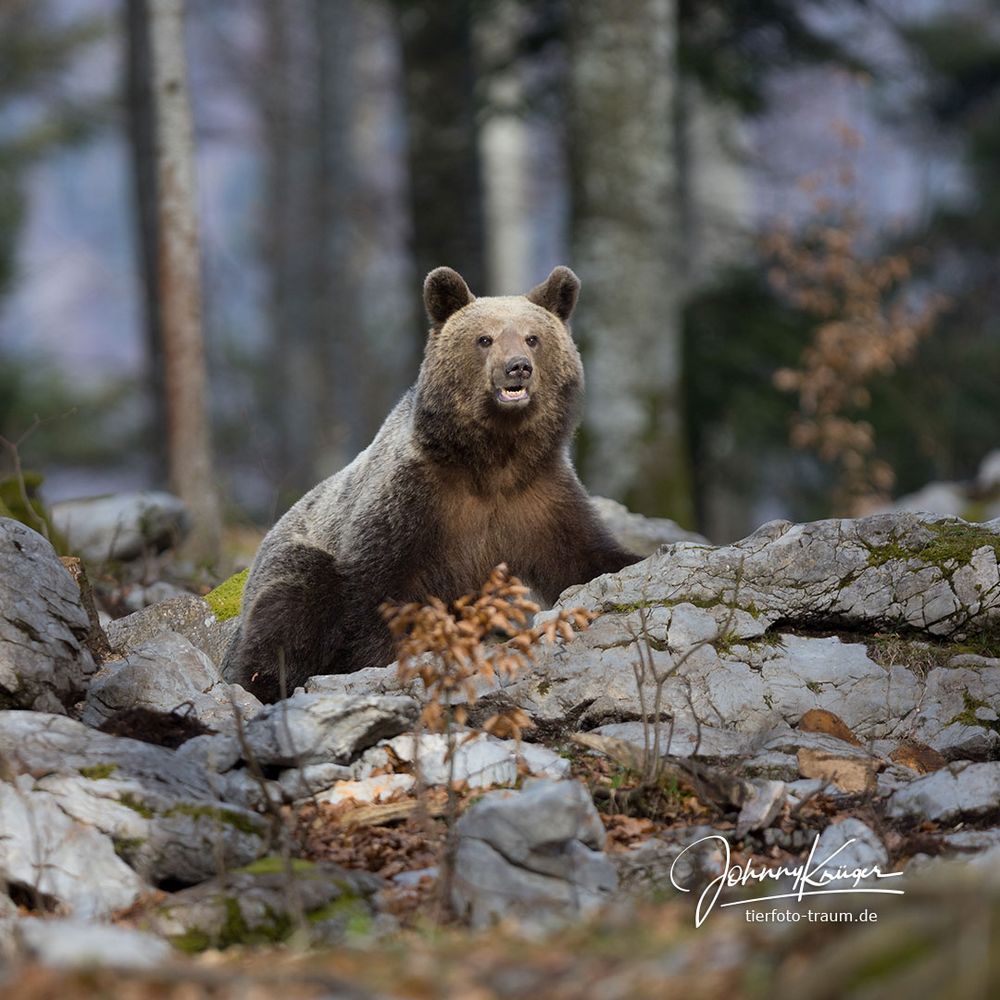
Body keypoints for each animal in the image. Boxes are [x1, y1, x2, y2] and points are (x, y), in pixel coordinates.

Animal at [222, 266, 640, 704]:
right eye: (485, 338)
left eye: (532, 337)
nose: (518, 368)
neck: (492, 460)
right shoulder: (414, 502)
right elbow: (379, 593)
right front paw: (389, 661)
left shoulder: (539, 497)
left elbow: (584, 555)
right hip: (292, 558)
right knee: (292, 604)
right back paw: (267, 683)